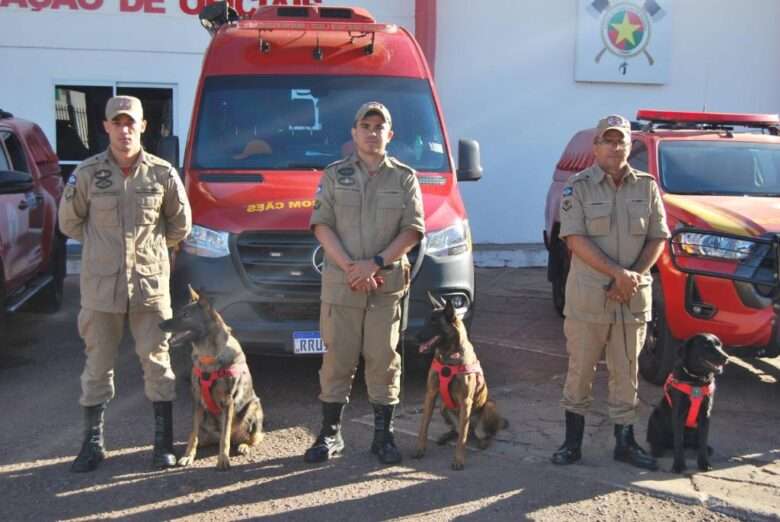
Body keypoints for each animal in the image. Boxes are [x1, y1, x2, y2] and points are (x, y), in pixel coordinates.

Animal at [159, 286, 266, 470]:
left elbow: (225, 438)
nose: (160, 325)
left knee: (253, 437)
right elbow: (192, 434)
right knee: (203, 437)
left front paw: (223, 459)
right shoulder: (196, 401)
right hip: (206, 421)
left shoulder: (228, 401)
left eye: (186, 315)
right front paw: (188, 455)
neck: (209, 356)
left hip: (253, 407)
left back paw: (244, 445)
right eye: (178, 312)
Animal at [414, 292, 506, 468]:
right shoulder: (430, 394)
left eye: (434, 322)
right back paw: (446, 435)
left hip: (488, 407)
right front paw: (420, 449)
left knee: (478, 433)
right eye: (426, 319)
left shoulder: (465, 401)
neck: (448, 357)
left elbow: (462, 439)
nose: (416, 337)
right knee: (457, 430)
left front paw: (458, 460)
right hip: (443, 406)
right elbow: (423, 426)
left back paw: (483, 441)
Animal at [644, 334, 728, 472]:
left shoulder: (706, 415)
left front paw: (704, 463)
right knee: (658, 440)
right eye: (706, 345)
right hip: (655, 417)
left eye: (720, 345)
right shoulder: (679, 415)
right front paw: (678, 465)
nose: (726, 357)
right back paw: (658, 449)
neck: (696, 380)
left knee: (695, 443)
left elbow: (703, 442)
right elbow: (679, 442)